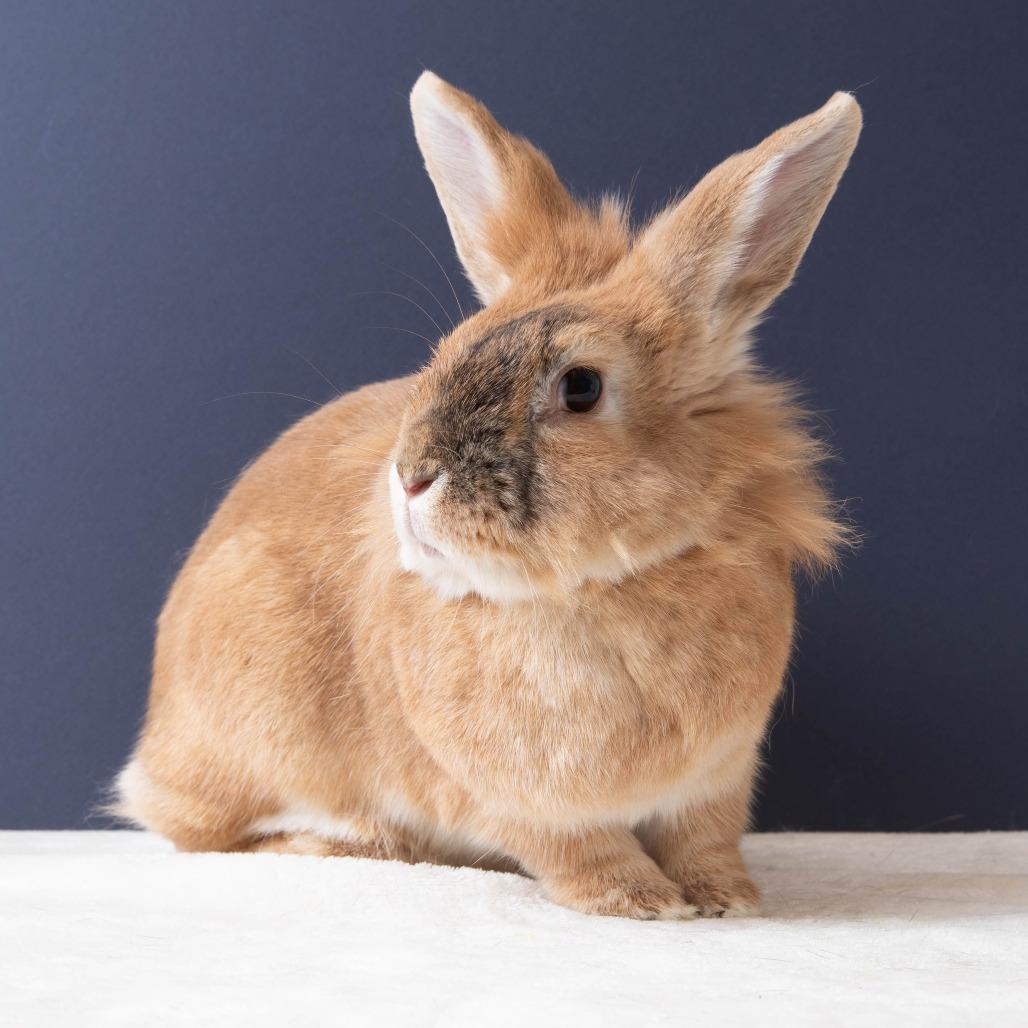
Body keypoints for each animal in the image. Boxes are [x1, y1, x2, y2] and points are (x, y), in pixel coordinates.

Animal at [114, 72, 861, 919]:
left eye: (581, 387)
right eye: (445, 356)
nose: (410, 477)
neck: (600, 587)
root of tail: (154, 746)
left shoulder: (715, 783)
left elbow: (704, 841)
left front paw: (726, 900)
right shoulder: (518, 802)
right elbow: (581, 850)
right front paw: (640, 901)